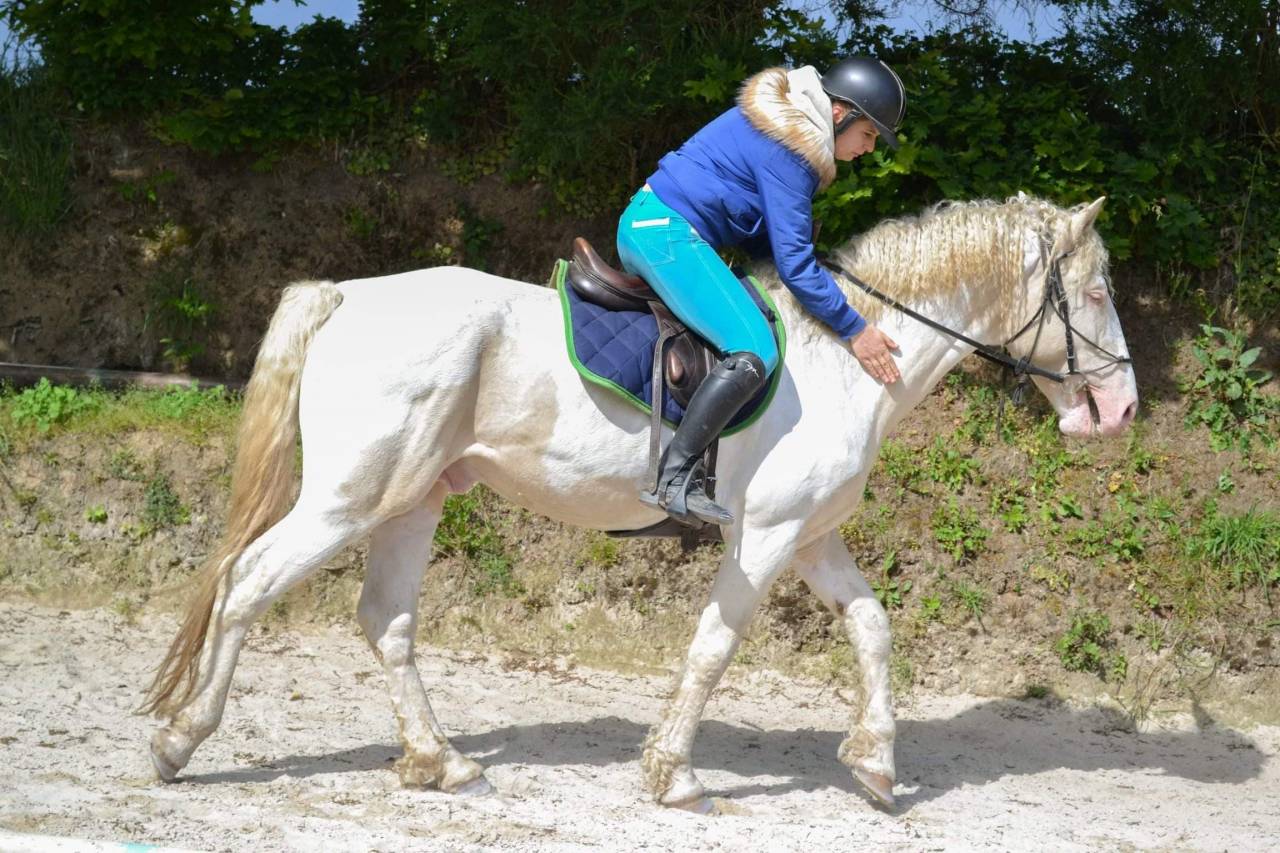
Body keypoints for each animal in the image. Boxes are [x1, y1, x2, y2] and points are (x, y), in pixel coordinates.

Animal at [142, 194, 1138, 814]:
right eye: (1095, 291)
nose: (1122, 409)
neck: (848, 357)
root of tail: (347, 294)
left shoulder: (812, 538)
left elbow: (873, 628)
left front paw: (877, 764)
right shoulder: (766, 537)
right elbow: (714, 647)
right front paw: (673, 773)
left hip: (413, 498)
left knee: (385, 619)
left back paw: (441, 761)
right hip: (350, 496)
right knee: (247, 584)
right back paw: (180, 739)